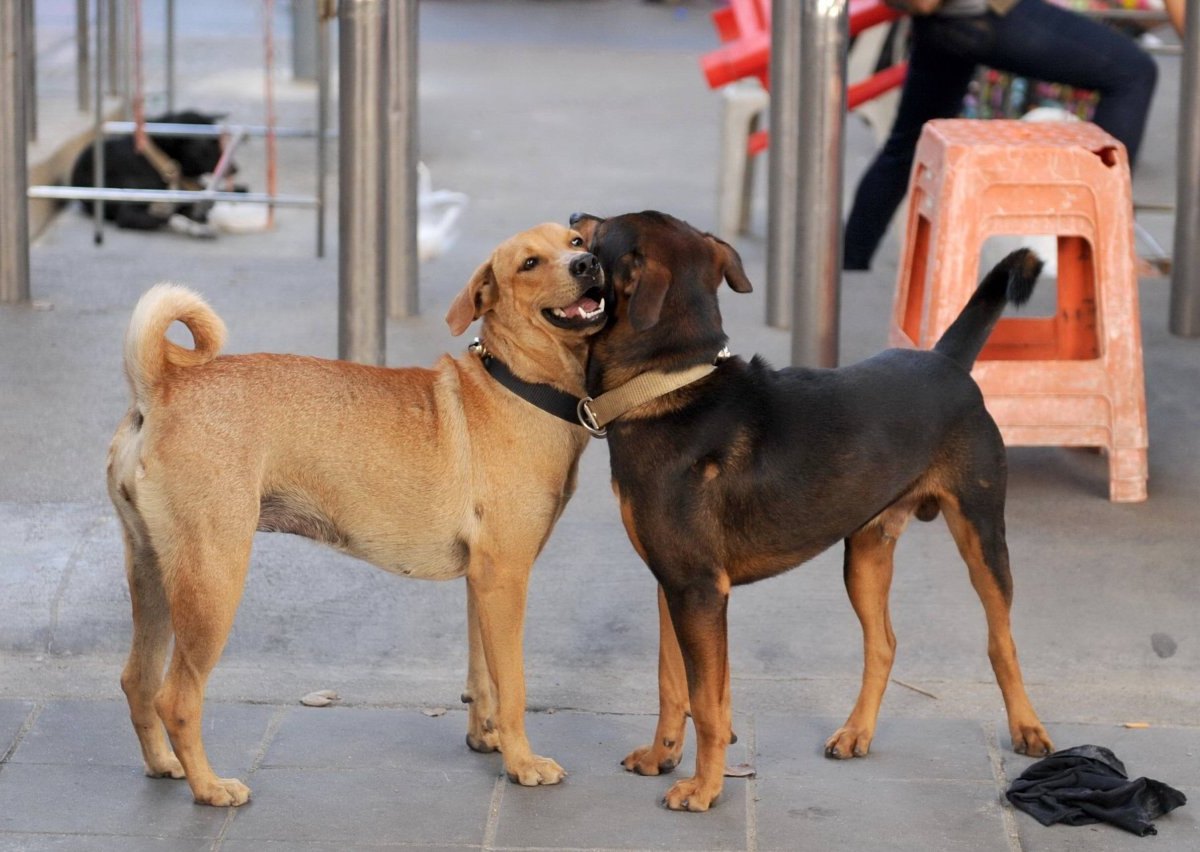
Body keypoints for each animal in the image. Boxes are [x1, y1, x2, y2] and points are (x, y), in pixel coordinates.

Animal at [106, 222, 604, 806]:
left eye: (574, 241)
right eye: (529, 264)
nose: (588, 264)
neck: (516, 384)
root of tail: (161, 386)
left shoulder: (483, 583)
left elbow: (483, 675)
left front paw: (488, 739)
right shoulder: (506, 578)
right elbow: (515, 686)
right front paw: (522, 762)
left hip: (155, 574)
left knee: (137, 681)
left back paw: (164, 765)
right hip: (211, 582)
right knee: (177, 698)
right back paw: (210, 788)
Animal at [571, 210, 1051, 811]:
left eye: (600, 232)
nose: (574, 219)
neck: (667, 384)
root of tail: (945, 361)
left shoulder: (698, 589)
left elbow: (706, 701)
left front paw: (704, 789)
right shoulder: (673, 583)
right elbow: (672, 682)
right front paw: (662, 756)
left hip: (981, 530)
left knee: (1001, 639)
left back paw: (1027, 728)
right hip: (866, 553)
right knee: (884, 644)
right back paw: (856, 733)